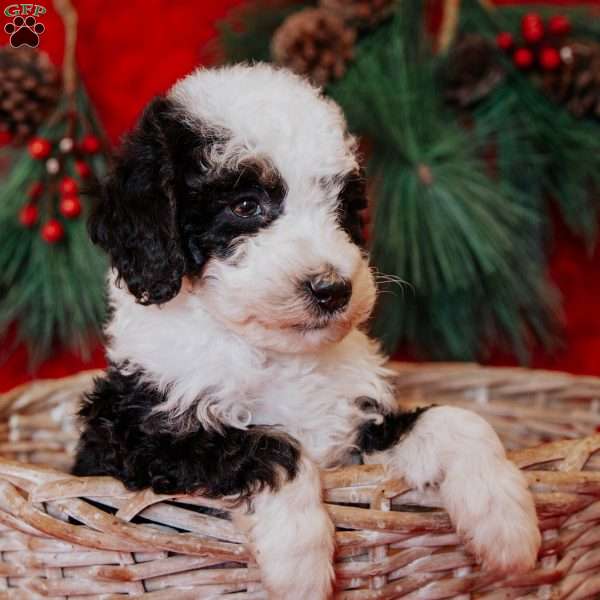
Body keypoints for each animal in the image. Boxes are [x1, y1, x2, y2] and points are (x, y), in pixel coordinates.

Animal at [72, 63, 540, 596]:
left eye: (341, 207)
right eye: (246, 205)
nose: (332, 290)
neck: (276, 356)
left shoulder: (358, 429)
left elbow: (454, 420)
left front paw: (506, 522)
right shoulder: (136, 435)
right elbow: (270, 445)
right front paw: (300, 565)